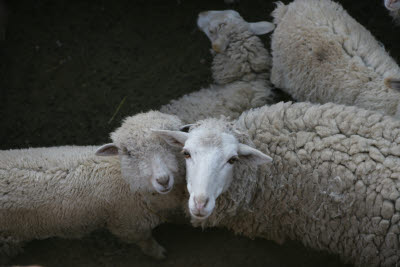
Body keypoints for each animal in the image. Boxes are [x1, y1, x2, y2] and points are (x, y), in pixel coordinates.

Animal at [0, 111, 188, 264]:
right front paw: (158, 253)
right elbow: (146, 241)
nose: (163, 180)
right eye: (128, 153)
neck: (126, 180)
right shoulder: (129, 225)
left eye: (171, 144)